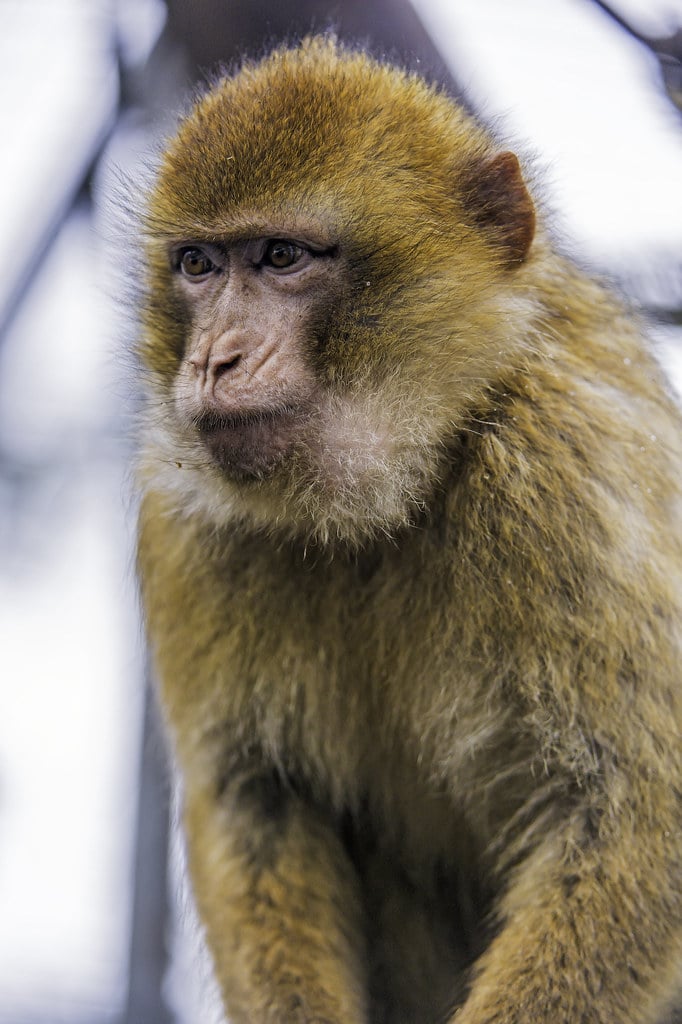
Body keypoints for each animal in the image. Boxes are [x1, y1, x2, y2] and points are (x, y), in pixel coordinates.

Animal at [135, 36, 682, 1024]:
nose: (212, 361)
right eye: (199, 266)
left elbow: (631, 808)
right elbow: (256, 800)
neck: (395, 494)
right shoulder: (186, 520)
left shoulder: (565, 469)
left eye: (280, 257)